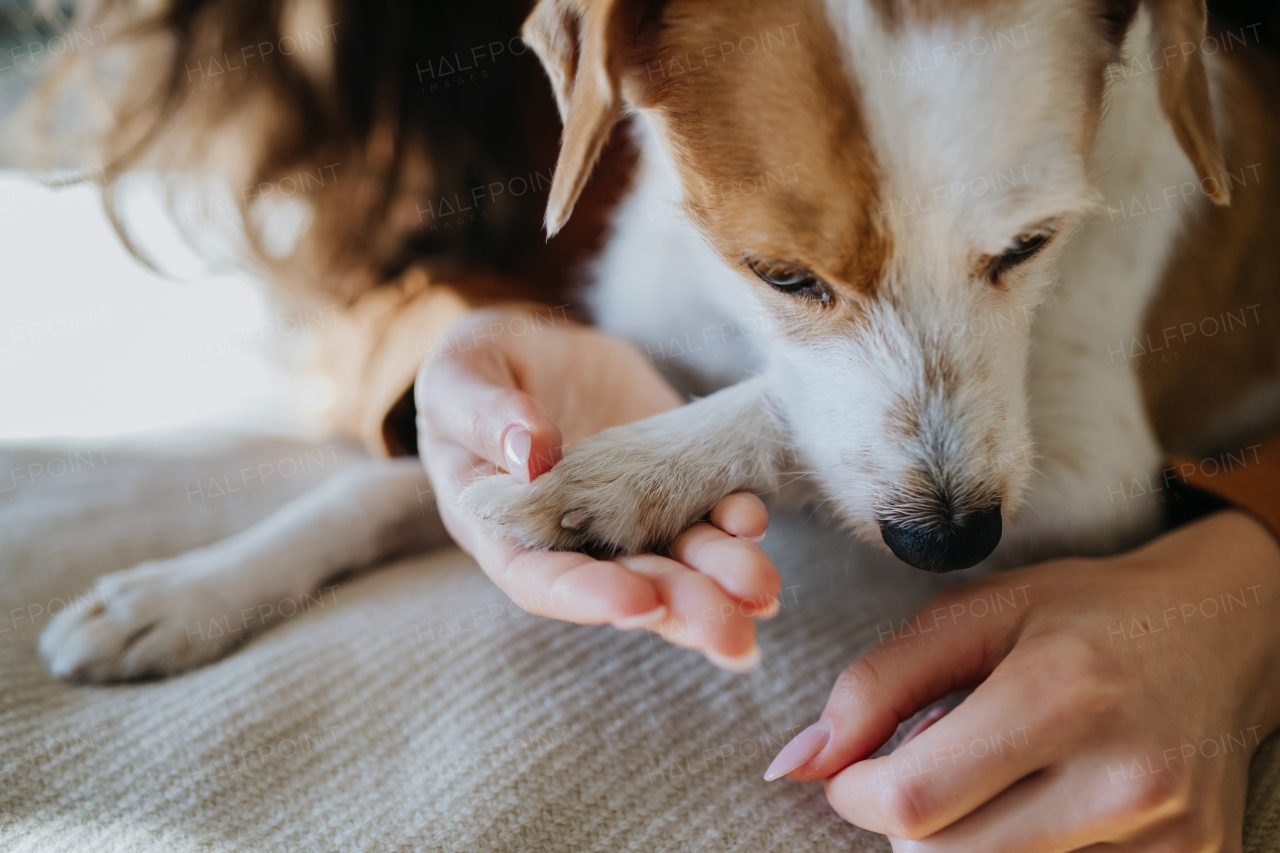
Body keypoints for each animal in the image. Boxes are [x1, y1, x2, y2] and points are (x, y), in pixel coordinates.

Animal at [40, 0, 1280, 676]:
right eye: (781, 274)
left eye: (1028, 244)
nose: (948, 544)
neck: (735, 323)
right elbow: (393, 480)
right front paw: (189, 589)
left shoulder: (1094, 481)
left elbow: (776, 414)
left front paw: (624, 477)